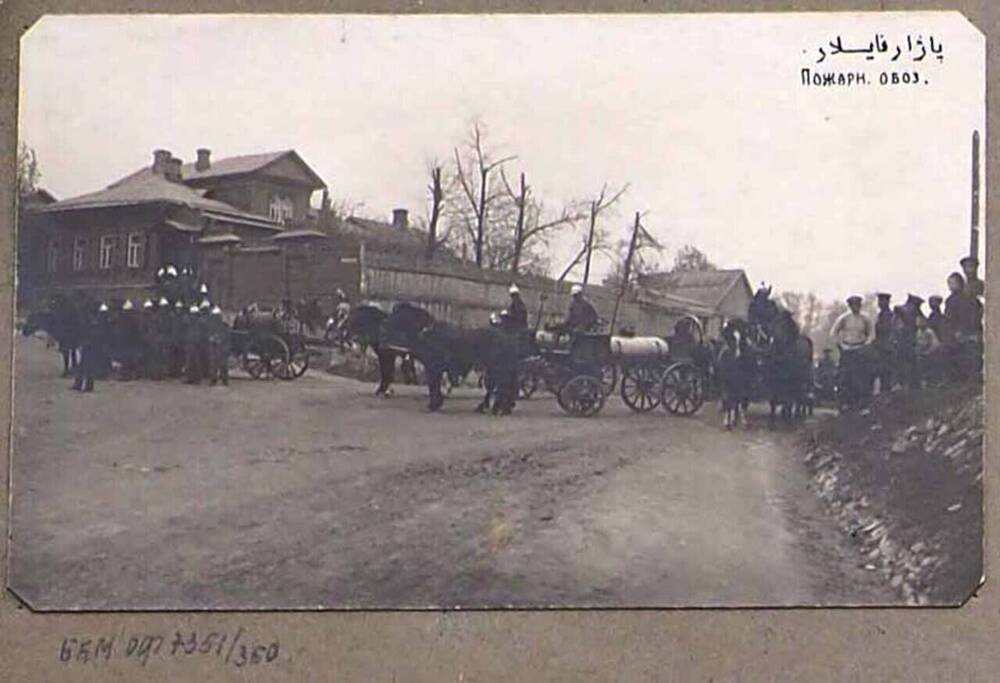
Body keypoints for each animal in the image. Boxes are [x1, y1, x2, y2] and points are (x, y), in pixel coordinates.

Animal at [748, 284, 816, 424]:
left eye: (763, 302)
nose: (749, 319)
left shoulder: (789, 380)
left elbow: (789, 401)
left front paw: (788, 418)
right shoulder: (773, 378)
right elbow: (774, 401)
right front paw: (773, 420)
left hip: (802, 381)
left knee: (799, 399)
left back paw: (797, 415)